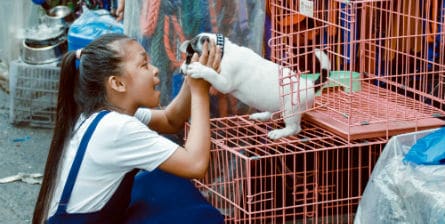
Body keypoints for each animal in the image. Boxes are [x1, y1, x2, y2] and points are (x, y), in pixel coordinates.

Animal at [180, 32, 330, 139]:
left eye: (189, 56)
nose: (181, 71)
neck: (225, 52)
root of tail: (309, 85)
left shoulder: (225, 83)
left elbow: (211, 73)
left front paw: (199, 69)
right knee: (274, 114)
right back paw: (262, 116)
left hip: (291, 110)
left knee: (294, 128)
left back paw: (279, 133)